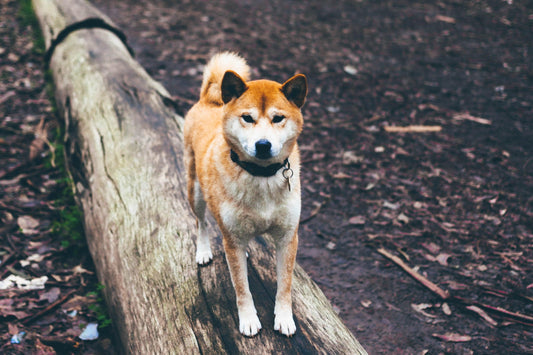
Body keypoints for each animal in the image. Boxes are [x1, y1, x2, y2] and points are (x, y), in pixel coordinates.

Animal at [184, 51, 306, 338]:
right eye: (247, 118)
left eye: (278, 118)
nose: (263, 145)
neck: (261, 176)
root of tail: (208, 101)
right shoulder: (233, 239)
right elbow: (242, 288)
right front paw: (249, 319)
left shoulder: (288, 238)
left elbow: (285, 285)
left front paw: (284, 318)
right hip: (196, 193)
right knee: (201, 222)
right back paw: (203, 250)